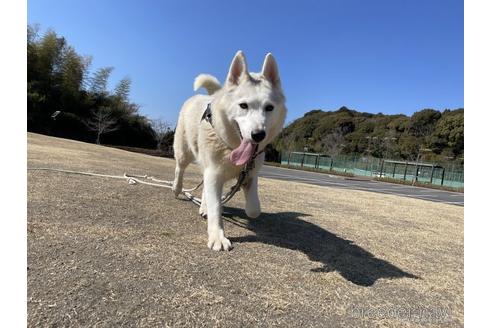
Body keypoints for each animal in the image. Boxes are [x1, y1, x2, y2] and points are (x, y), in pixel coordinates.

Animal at [173, 51, 288, 251]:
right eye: (243, 106)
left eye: (269, 108)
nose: (258, 135)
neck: (231, 146)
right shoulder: (214, 172)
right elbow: (216, 208)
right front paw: (218, 237)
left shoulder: (248, 173)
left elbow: (254, 209)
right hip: (184, 151)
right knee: (180, 168)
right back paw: (176, 188)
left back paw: (203, 206)